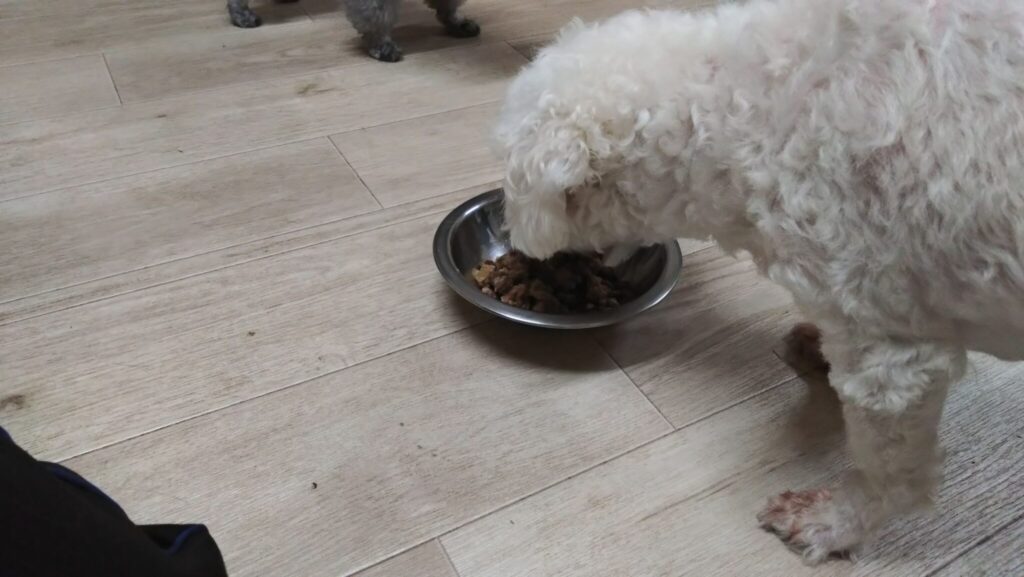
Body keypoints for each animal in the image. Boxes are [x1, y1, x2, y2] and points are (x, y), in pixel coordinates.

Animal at [495, 0, 1024, 563]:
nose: (526, 253)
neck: (743, 112)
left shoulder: (890, 348)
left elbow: (889, 473)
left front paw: (831, 523)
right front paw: (816, 349)